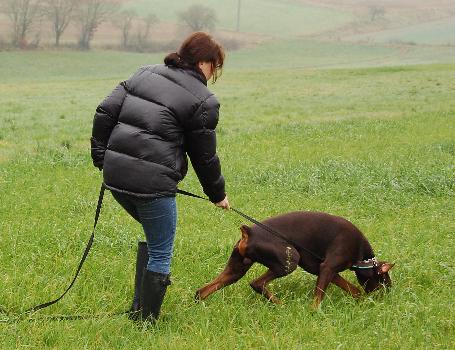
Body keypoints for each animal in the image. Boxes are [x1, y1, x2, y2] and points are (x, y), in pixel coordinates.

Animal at [196, 211, 396, 306]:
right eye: (385, 284)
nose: (386, 300)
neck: (362, 258)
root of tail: (249, 232)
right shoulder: (327, 269)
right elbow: (317, 299)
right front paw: (314, 313)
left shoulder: (327, 271)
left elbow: (354, 290)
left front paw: (359, 301)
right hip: (290, 260)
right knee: (256, 283)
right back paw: (279, 304)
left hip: (236, 269)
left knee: (201, 291)